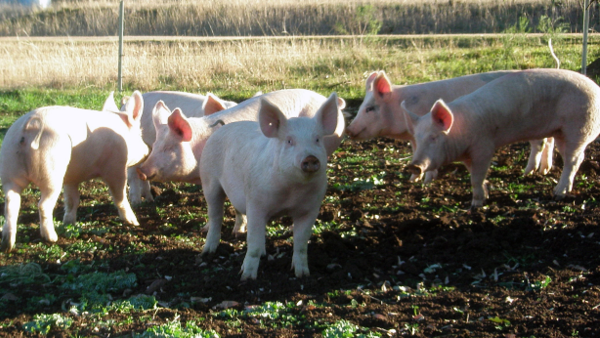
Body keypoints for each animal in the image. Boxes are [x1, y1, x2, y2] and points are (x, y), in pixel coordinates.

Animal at [0, 90, 150, 251]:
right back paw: (51, 238)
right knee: (43, 205)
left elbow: (72, 200)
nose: (148, 150)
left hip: (9, 170)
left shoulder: (71, 177)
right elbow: (119, 196)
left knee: (11, 203)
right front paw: (134, 222)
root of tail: (28, 127)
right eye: (140, 133)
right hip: (51, 171)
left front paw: (69, 223)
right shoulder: (116, 168)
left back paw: (7, 245)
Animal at [200, 92, 340, 280]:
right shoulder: (256, 203)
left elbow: (301, 243)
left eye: (317, 139)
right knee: (216, 215)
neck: (292, 191)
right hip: (209, 181)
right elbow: (253, 243)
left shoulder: (311, 208)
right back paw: (208, 252)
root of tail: (222, 127)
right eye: (289, 141)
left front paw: (302, 275)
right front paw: (246, 277)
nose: (310, 158)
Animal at [346, 69, 552, 184]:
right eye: (362, 106)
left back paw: (527, 173)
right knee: (550, 142)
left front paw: (426, 182)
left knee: (539, 144)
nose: (348, 130)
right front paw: (412, 180)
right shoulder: (415, 136)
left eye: (370, 108)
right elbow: (416, 152)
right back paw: (544, 171)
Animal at [400, 69, 600, 209]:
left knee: (574, 160)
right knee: (567, 156)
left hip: (579, 127)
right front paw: (486, 194)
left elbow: (476, 177)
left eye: (433, 137)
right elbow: (474, 174)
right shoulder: (468, 154)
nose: (414, 165)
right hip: (560, 131)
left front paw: (475, 205)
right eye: (417, 138)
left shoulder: (483, 148)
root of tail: (596, 88)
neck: (461, 131)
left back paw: (558, 193)